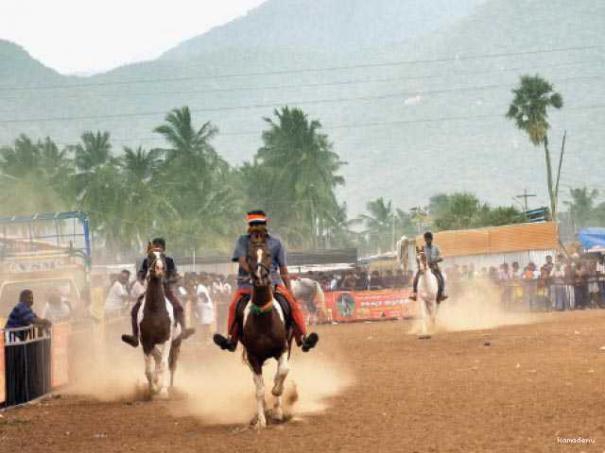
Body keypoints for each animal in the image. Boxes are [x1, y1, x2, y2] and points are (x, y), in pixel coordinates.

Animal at [137, 249, 180, 398]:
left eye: (163, 256)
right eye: (150, 257)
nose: (160, 268)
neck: (155, 309)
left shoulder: (167, 339)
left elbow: (163, 365)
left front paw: (162, 390)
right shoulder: (146, 341)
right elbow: (148, 370)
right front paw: (153, 389)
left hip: (175, 343)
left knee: (171, 364)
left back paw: (170, 386)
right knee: (157, 358)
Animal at [239, 238, 292, 430]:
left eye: (269, 255)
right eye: (249, 256)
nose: (260, 277)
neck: (263, 319)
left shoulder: (282, 349)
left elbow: (282, 372)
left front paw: (277, 398)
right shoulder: (253, 357)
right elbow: (259, 390)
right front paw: (261, 420)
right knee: (257, 384)